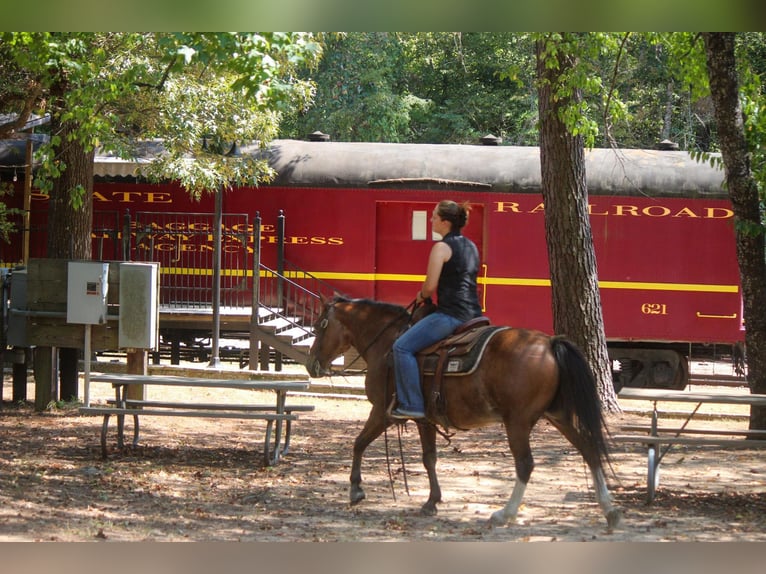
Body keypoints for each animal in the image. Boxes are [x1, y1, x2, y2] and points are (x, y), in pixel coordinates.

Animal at [308, 296, 624, 532]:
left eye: (320, 325)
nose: (311, 364)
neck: (387, 344)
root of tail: (549, 343)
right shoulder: (424, 419)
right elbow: (429, 458)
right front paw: (432, 501)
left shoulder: (382, 412)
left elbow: (359, 443)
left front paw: (356, 490)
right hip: (558, 416)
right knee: (589, 449)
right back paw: (609, 510)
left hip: (518, 422)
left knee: (525, 464)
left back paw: (505, 514)